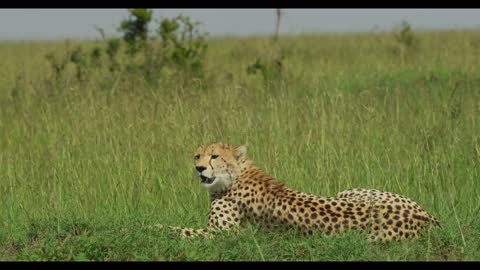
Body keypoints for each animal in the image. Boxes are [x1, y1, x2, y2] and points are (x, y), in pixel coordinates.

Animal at [147, 142, 442, 242]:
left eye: (214, 156)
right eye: (197, 155)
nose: (198, 168)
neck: (235, 176)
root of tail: (426, 217)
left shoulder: (223, 235)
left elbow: (180, 230)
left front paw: (148, 227)